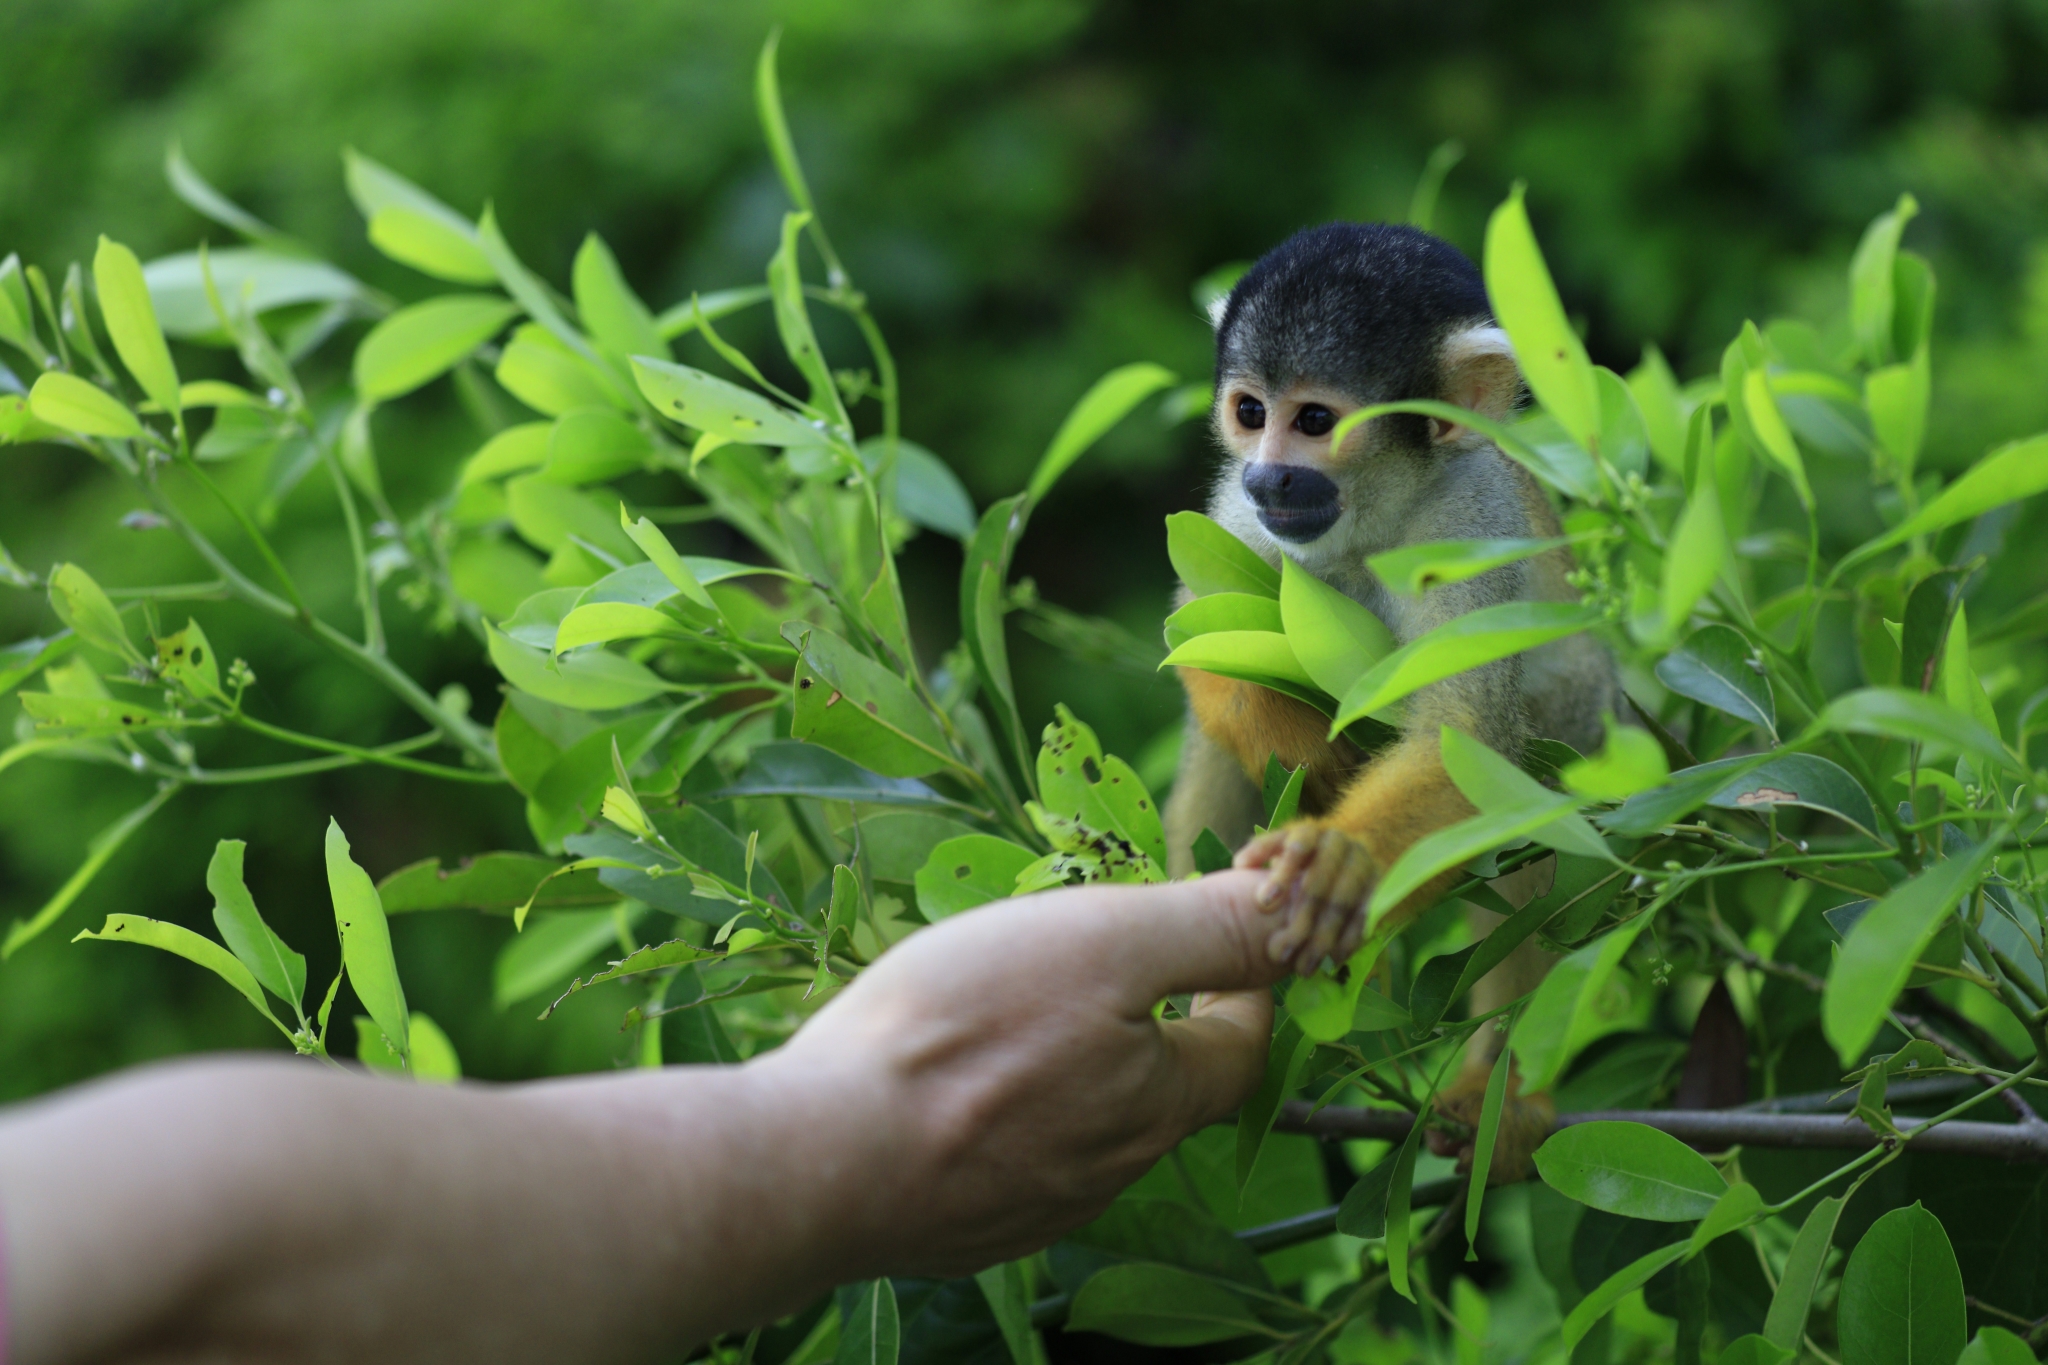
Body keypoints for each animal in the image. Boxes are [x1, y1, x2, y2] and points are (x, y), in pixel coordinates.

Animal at [1171, 224, 1613, 1178]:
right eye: (1251, 412)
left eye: (1315, 421)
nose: (1273, 476)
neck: (1374, 518)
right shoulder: (1237, 510)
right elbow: (1197, 634)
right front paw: (1302, 745)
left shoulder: (1472, 522)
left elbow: (1467, 745)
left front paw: (1344, 863)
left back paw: (1501, 1088)